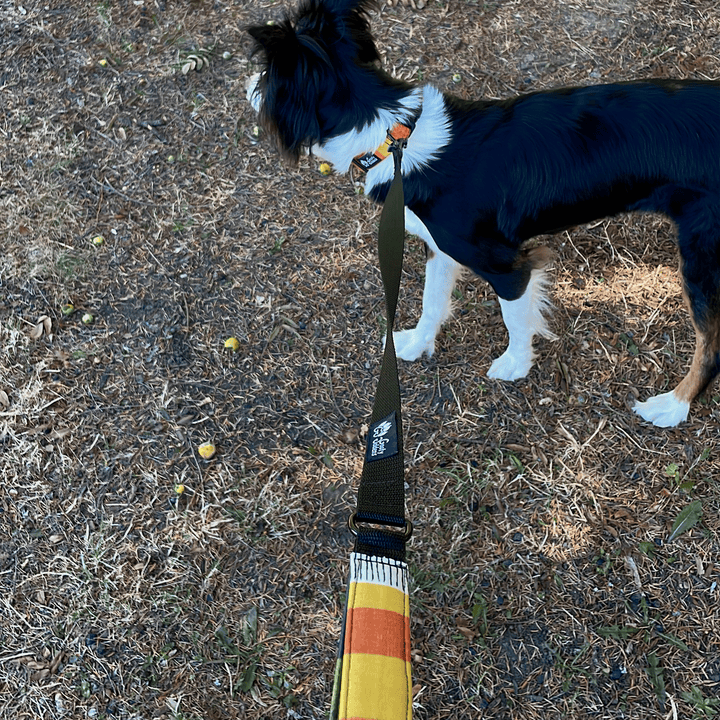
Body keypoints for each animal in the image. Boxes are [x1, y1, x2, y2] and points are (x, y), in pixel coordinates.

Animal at [246, 0, 720, 428]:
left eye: (266, 76)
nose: (248, 81)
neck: (393, 135)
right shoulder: (440, 248)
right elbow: (431, 302)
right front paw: (416, 344)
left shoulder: (507, 265)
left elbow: (515, 319)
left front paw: (515, 365)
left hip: (700, 256)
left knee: (710, 345)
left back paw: (672, 407)